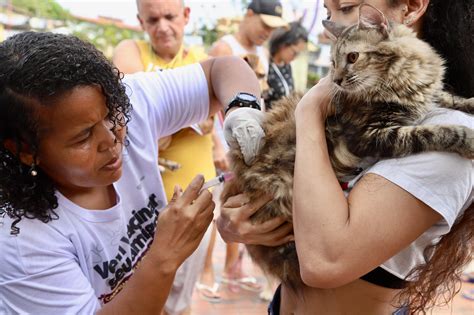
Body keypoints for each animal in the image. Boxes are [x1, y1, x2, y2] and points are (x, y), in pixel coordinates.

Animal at [223, 3, 474, 288]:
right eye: (333, 63)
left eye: (353, 57)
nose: (337, 80)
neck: (401, 77)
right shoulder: (372, 134)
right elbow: (432, 131)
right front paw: (466, 138)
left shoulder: (425, 94)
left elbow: (447, 97)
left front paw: (468, 104)